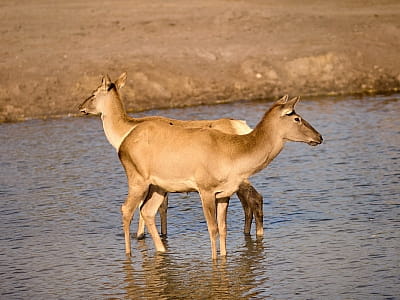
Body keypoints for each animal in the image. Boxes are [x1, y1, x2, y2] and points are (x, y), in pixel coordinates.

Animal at [78, 73, 322, 260]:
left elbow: (223, 228)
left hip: (158, 186)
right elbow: (212, 229)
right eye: (296, 117)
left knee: (146, 210)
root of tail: (123, 146)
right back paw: (129, 254)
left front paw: (223, 259)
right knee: (127, 209)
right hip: (138, 178)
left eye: (93, 93)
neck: (236, 154)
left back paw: (161, 250)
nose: (319, 137)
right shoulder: (205, 189)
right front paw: (214, 260)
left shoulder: (224, 193)